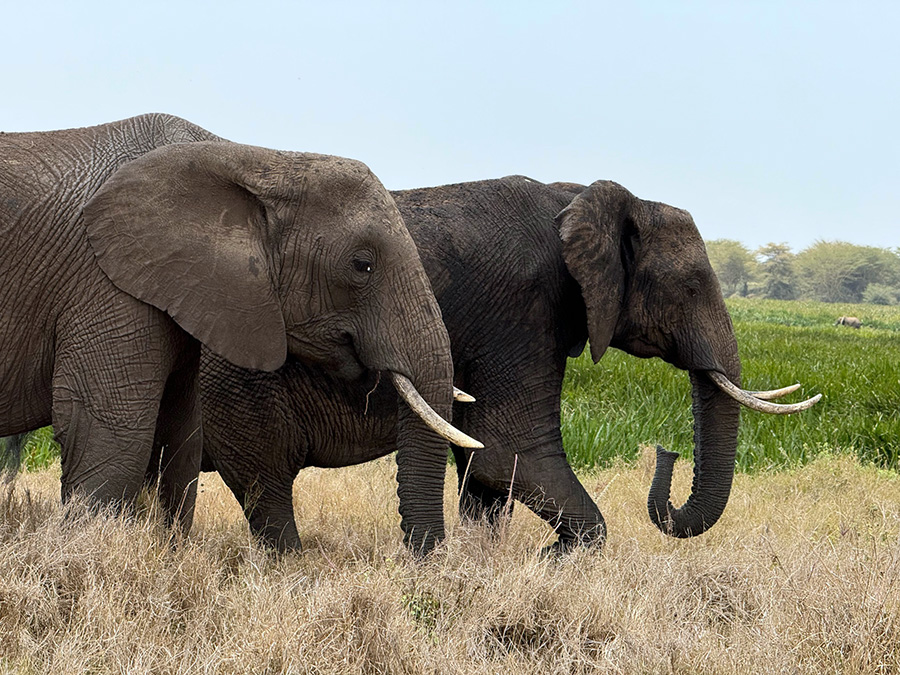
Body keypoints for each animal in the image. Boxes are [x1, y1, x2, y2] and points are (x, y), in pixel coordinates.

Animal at [0, 113, 477, 544]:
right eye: (363, 266)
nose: (420, 562)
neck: (253, 160)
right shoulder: (105, 282)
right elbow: (108, 436)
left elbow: (179, 437)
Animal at [199, 176, 818, 553]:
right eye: (689, 287)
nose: (667, 453)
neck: (576, 196)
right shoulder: (523, 311)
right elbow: (507, 453)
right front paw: (550, 557)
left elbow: (485, 472)